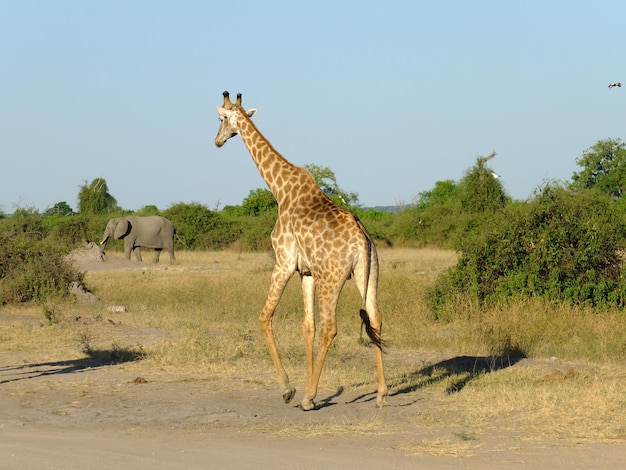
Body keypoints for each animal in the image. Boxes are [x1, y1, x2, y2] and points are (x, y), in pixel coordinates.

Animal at [212, 90, 382, 410]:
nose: (217, 141)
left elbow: (264, 318)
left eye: (221, 119)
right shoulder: (307, 273)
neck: (280, 190)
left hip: (333, 278)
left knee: (331, 327)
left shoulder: (284, 261)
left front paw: (289, 390)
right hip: (369, 273)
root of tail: (361, 240)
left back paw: (309, 397)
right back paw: (381, 394)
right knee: (375, 319)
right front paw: (302, 387)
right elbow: (307, 327)